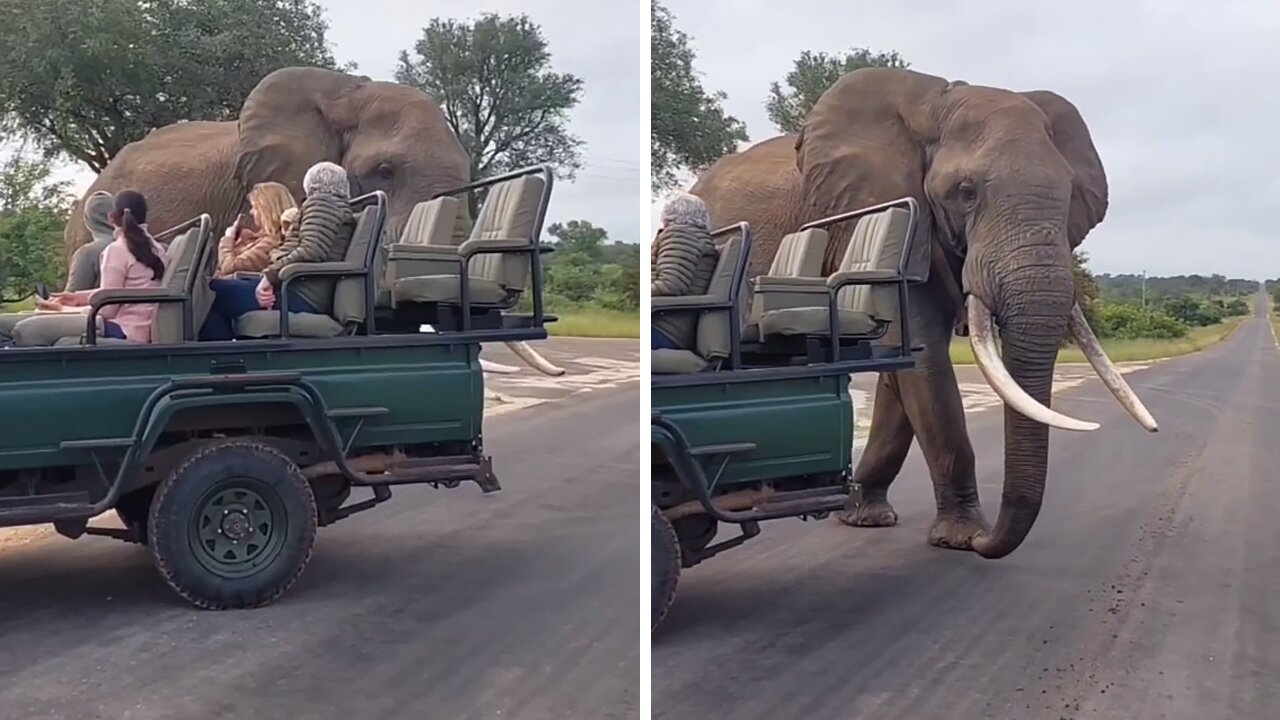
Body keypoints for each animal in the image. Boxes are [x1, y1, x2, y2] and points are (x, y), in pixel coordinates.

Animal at [691, 67, 1162, 558]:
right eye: (966, 192)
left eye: (1070, 196)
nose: (985, 542)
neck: (935, 104)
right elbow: (922, 355)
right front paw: (959, 538)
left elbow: (903, 366)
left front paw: (864, 515)